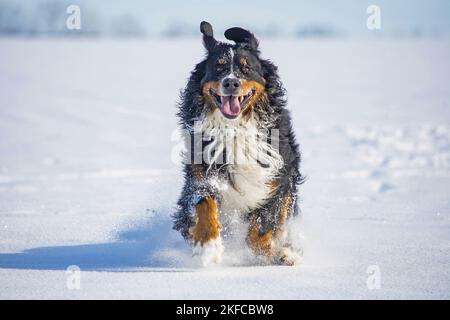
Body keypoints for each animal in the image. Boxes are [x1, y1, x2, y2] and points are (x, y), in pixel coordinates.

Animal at [172, 20, 302, 264]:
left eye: (246, 68)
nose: (231, 83)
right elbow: (203, 202)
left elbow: (261, 231)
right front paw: (207, 244)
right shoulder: (201, 173)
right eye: (219, 67)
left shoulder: (276, 180)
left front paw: (277, 252)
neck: (234, 129)